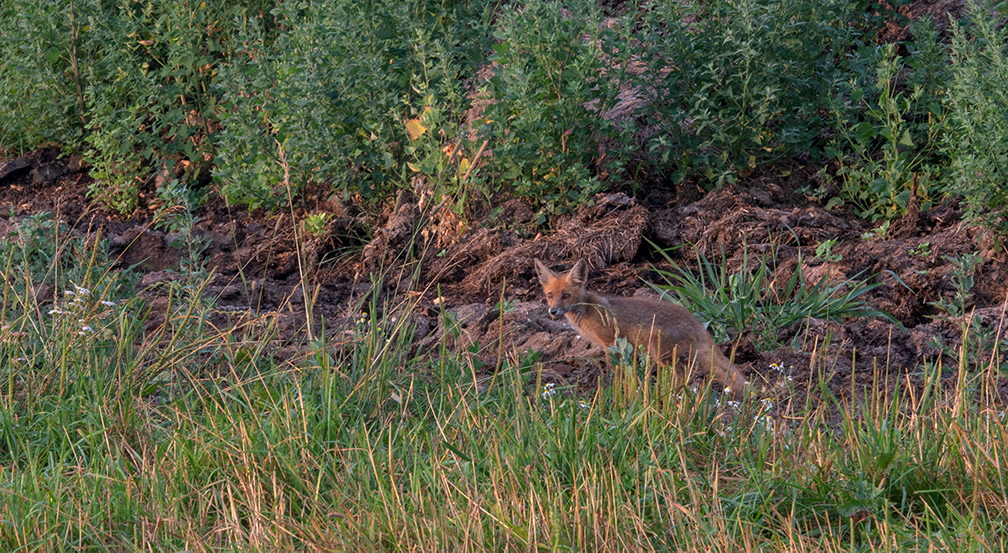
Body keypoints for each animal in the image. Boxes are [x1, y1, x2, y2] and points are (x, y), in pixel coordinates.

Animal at [536, 257, 749, 396]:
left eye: (566, 296)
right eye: (549, 295)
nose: (553, 311)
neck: (587, 309)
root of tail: (694, 319)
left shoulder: (609, 341)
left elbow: (614, 370)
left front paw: (612, 388)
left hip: (662, 355)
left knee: (687, 379)